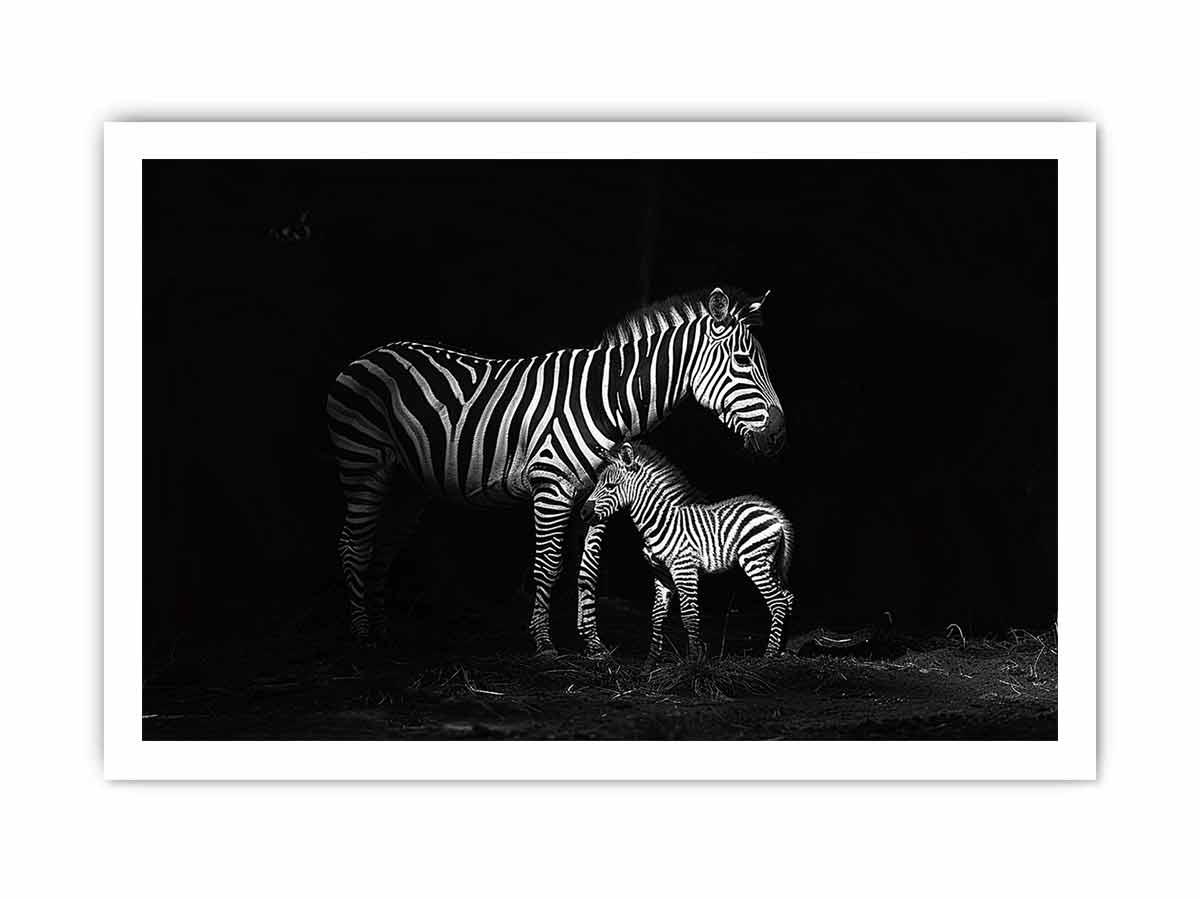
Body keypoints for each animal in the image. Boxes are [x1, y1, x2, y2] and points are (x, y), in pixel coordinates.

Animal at [581, 442, 796, 664]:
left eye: (610, 486)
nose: (583, 513)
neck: (659, 522)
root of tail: (774, 513)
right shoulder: (662, 574)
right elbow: (656, 615)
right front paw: (651, 662)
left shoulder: (684, 568)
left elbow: (689, 616)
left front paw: (694, 662)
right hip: (769, 562)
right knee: (787, 597)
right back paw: (781, 648)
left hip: (754, 560)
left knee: (778, 602)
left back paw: (769, 655)